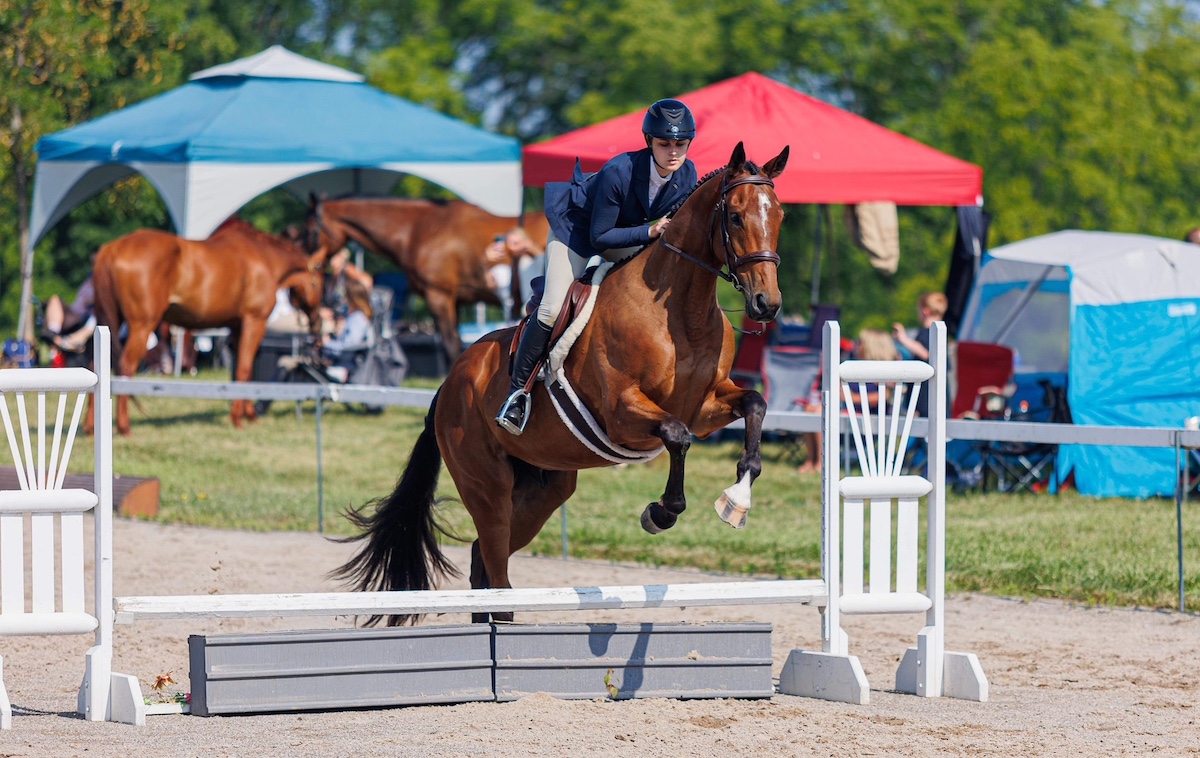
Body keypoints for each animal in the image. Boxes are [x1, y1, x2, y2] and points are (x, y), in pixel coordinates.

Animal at [94, 215, 326, 434]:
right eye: (322, 283)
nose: (317, 323)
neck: (265, 259)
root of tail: (113, 248)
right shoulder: (254, 322)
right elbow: (244, 370)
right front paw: (239, 419)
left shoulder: (236, 328)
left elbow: (244, 372)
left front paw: (248, 414)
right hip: (142, 326)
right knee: (125, 366)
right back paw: (124, 427)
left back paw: (90, 428)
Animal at [307, 195, 554, 362]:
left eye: (310, 231)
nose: (310, 266)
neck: (419, 228)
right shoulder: (454, 301)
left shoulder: (438, 296)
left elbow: (451, 345)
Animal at [336, 143, 787, 628]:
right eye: (736, 217)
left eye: (779, 214)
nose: (767, 304)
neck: (679, 311)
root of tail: (449, 384)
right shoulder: (622, 413)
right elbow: (676, 436)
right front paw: (660, 513)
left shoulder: (705, 405)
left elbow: (755, 404)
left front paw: (737, 500)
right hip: (487, 486)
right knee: (494, 563)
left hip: (544, 489)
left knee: (483, 560)